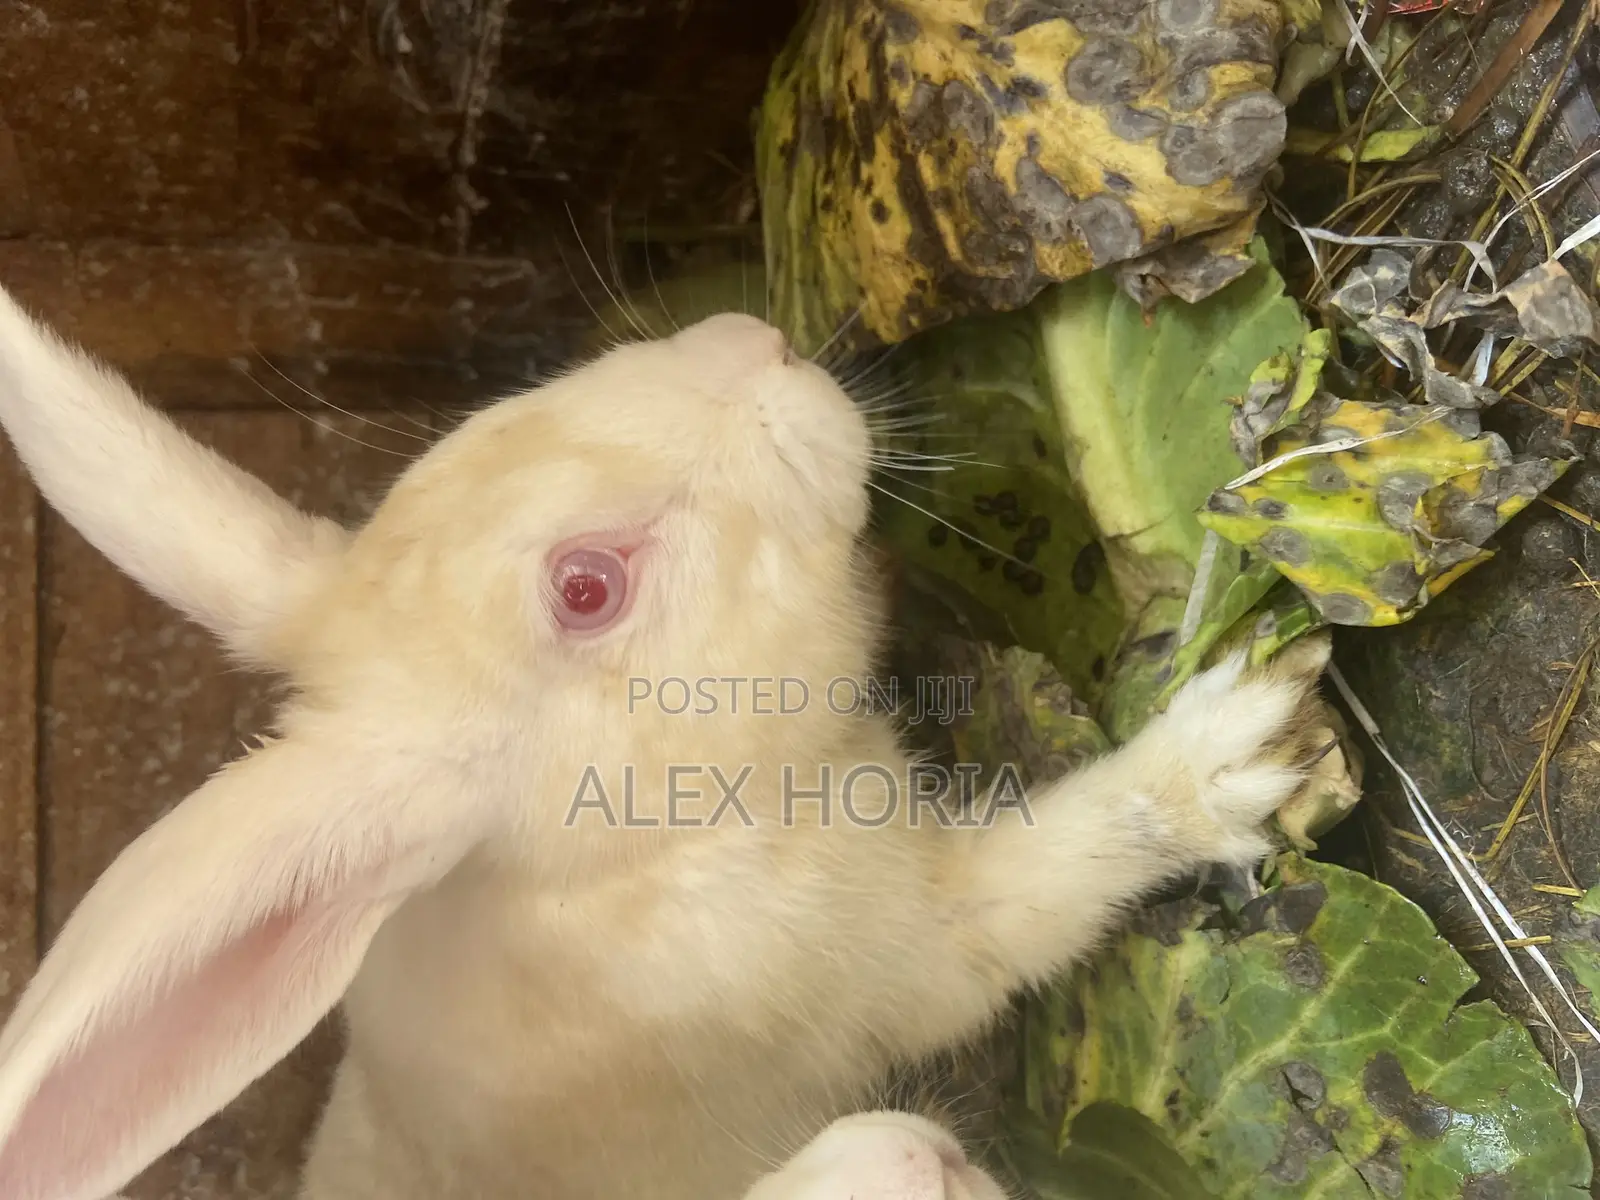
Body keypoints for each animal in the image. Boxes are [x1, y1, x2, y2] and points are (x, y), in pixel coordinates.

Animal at [0, 286, 1327, 1200]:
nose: (756, 343)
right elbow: (1061, 868)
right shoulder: (908, 947)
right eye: (585, 589)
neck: (614, 851)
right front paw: (1237, 747)